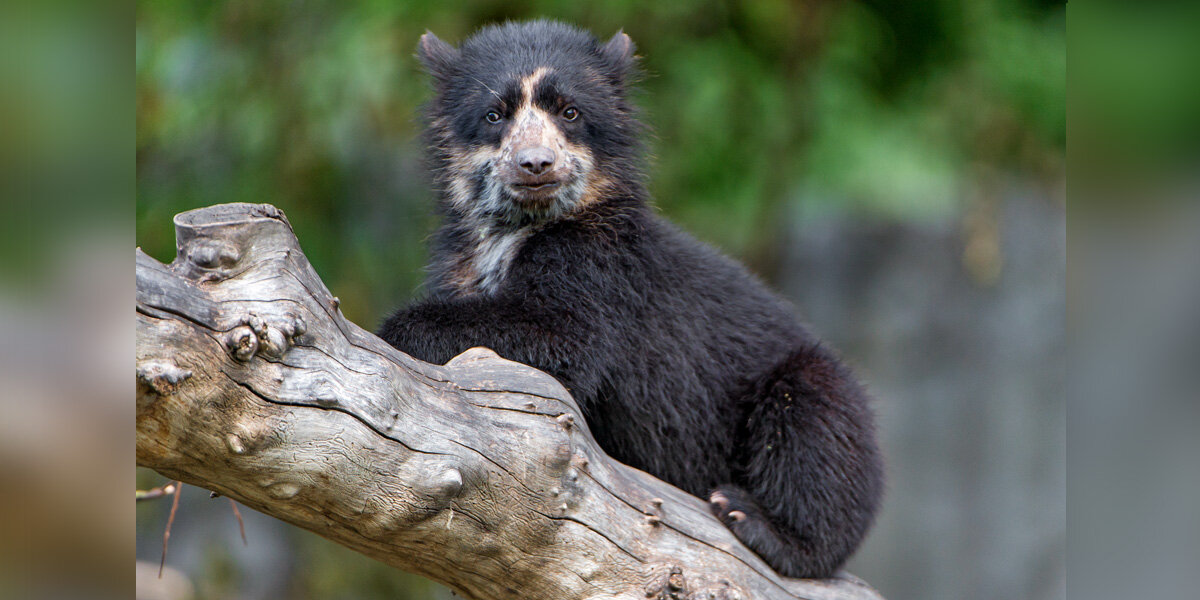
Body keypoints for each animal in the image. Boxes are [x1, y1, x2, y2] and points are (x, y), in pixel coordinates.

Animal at [377, 20, 884, 579]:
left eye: (570, 111)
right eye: (495, 114)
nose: (536, 164)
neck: (520, 227)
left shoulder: (601, 266)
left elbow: (563, 336)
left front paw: (398, 331)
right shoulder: (460, 264)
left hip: (814, 394)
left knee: (813, 433)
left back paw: (756, 522)